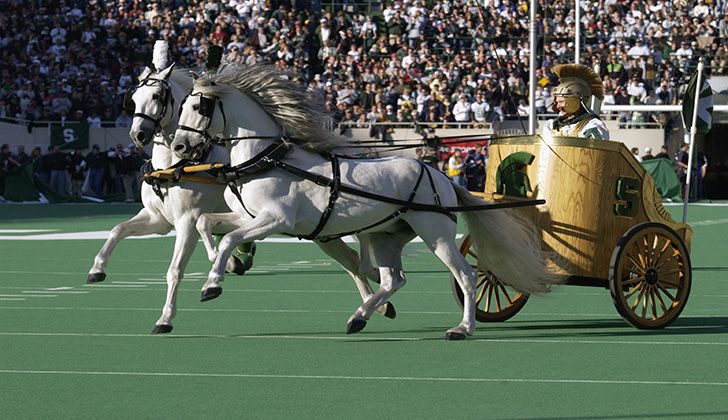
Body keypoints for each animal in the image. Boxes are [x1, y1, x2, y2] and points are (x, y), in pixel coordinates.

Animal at [171, 64, 564, 340]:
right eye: (182, 104)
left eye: (200, 105)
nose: (178, 146)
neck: (266, 160)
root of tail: (440, 176)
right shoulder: (248, 217)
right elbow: (208, 225)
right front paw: (222, 266)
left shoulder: (275, 220)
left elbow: (230, 238)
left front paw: (212, 284)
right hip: (385, 236)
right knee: (393, 279)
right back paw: (359, 316)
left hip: (436, 233)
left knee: (466, 276)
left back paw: (463, 328)